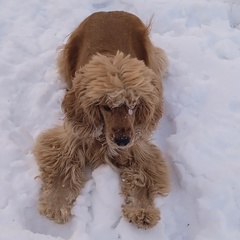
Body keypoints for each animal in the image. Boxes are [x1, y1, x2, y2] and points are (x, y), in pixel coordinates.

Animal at [32, 11, 170, 229]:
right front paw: (56, 204)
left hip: (153, 56)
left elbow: (142, 177)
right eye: (106, 106)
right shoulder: (70, 138)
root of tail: (110, 11)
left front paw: (142, 209)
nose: (122, 141)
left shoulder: (138, 147)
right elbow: (63, 169)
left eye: (134, 105)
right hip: (66, 56)